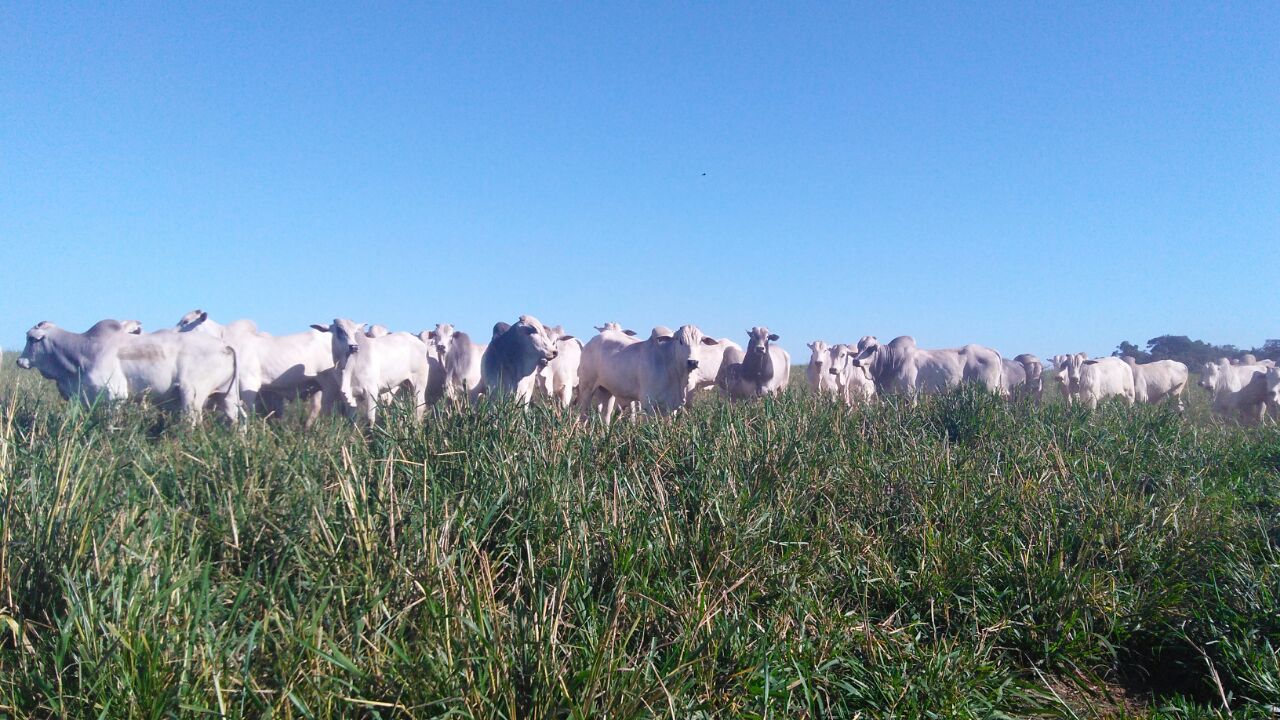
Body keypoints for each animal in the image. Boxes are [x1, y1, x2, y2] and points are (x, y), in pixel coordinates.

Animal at [17, 317, 240, 420]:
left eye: (31, 339)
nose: (19, 361)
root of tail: (225, 345)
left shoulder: (115, 396)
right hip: (227, 396)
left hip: (191, 396)